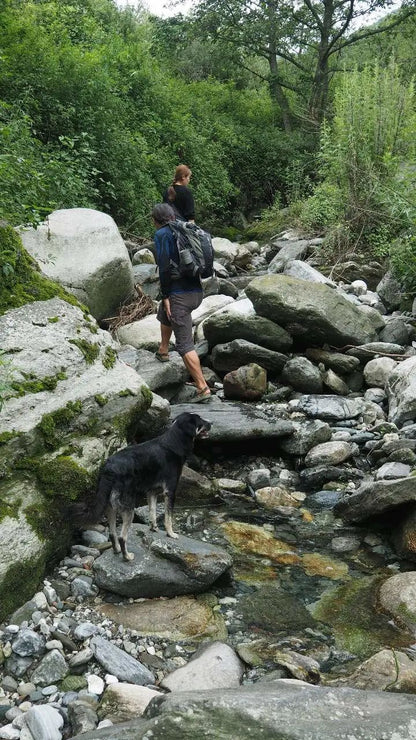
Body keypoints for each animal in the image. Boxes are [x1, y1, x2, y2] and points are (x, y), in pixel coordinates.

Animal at [74, 410, 210, 560]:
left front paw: (153, 528)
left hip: (110, 506)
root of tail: (109, 468)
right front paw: (171, 534)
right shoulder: (170, 491)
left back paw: (117, 551)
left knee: (112, 533)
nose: (211, 423)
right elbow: (168, 517)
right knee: (122, 537)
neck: (175, 441)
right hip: (128, 506)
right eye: (200, 421)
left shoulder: (152, 492)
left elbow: (152, 511)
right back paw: (127, 557)